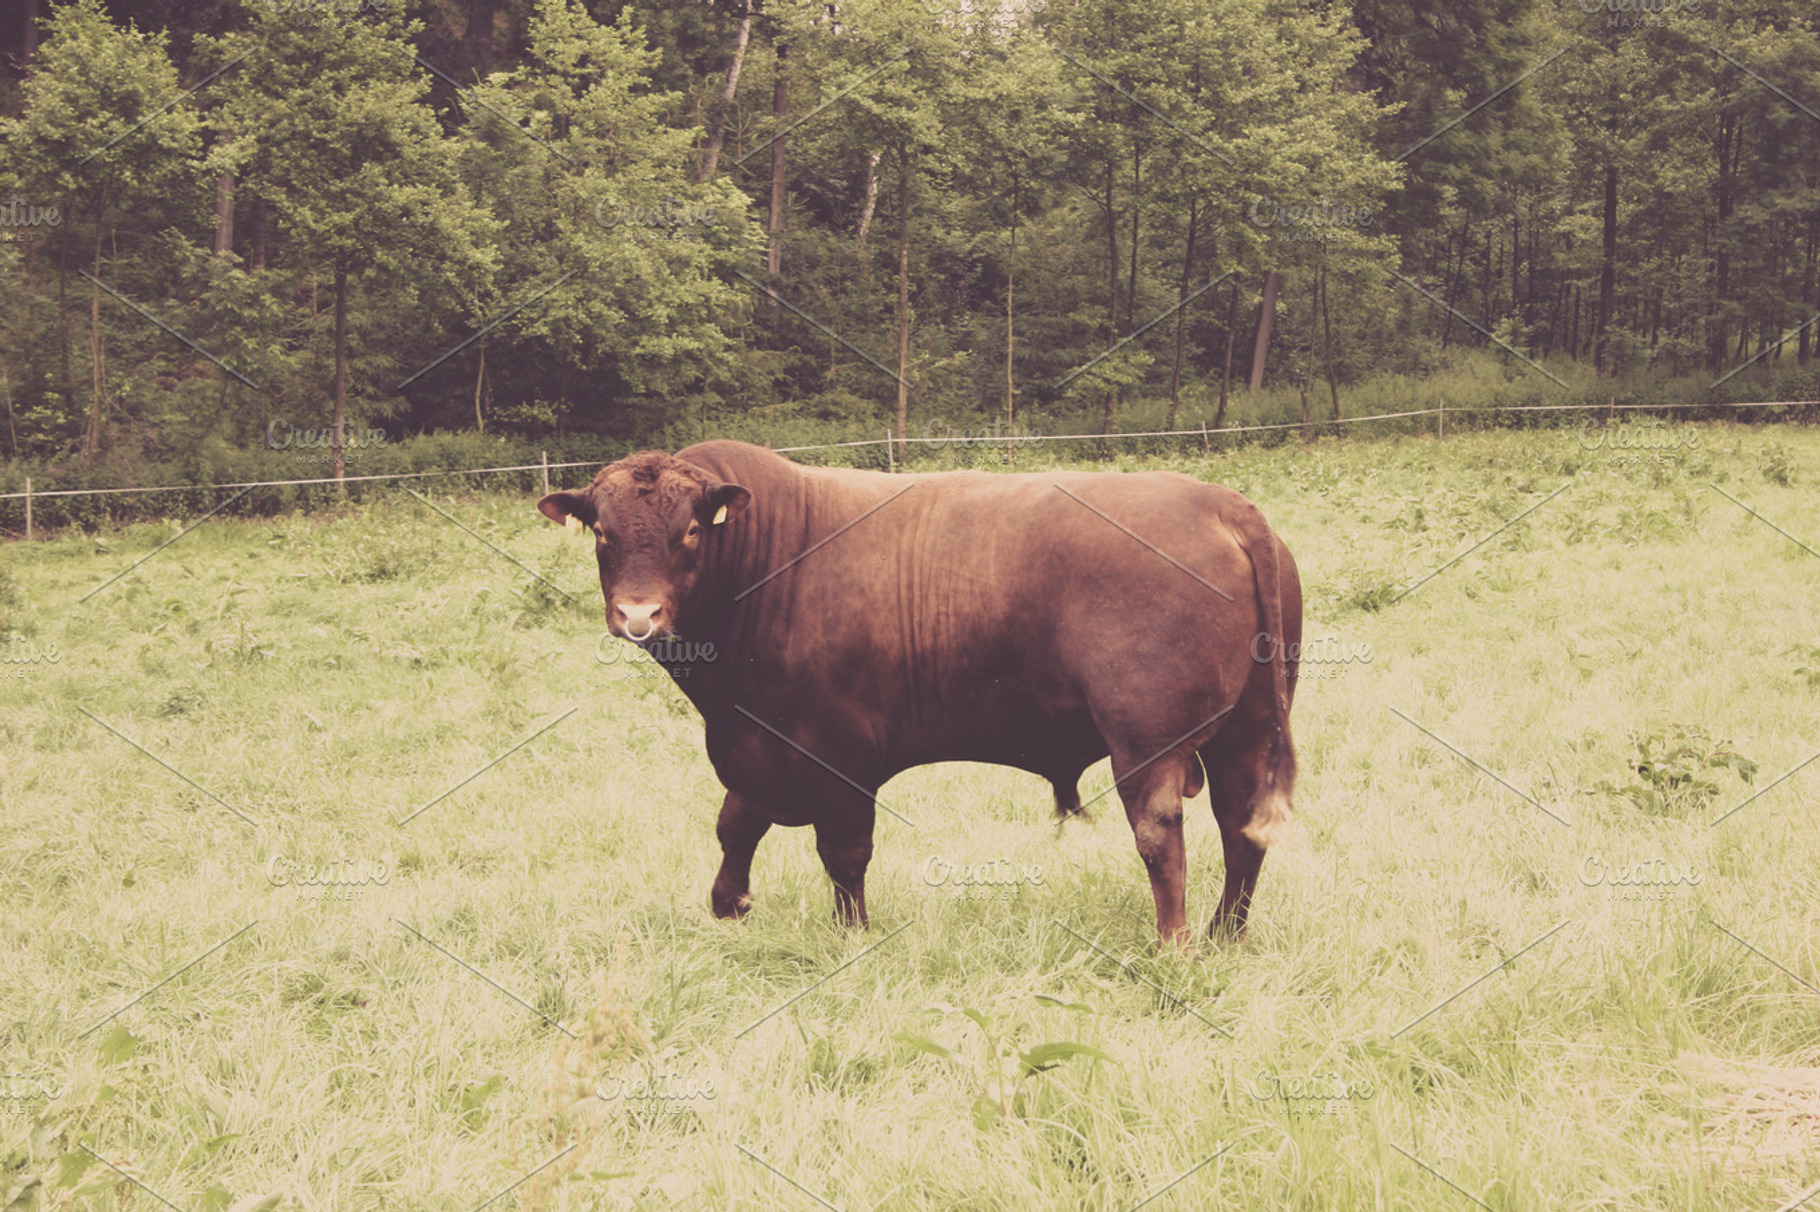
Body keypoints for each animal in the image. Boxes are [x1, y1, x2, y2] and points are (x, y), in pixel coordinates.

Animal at [537, 439, 1301, 947]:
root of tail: (1222, 503)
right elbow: (735, 827)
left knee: (1159, 834)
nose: (638, 614)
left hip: (1146, 739)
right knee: (1242, 826)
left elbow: (843, 851)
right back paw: (1225, 934)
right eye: (602, 533)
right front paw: (729, 910)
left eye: (691, 530)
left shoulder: (833, 750)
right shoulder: (758, 744)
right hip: (1247, 727)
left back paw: (1173, 944)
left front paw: (851, 936)